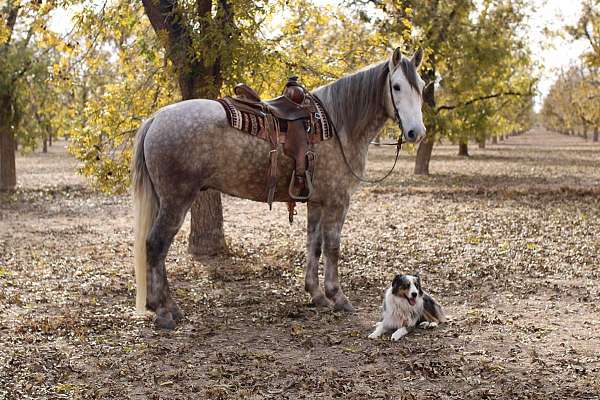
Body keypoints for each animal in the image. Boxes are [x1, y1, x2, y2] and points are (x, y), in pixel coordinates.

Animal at [134, 47, 428, 328]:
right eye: (397, 86)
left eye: (422, 86)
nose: (417, 132)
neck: (338, 125)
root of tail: (156, 118)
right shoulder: (338, 201)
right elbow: (333, 248)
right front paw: (338, 297)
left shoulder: (316, 202)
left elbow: (314, 245)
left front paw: (316, 295)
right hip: (176, 201)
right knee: (156, 245)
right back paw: (165, 311)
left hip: (164, 200)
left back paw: (160, 305)